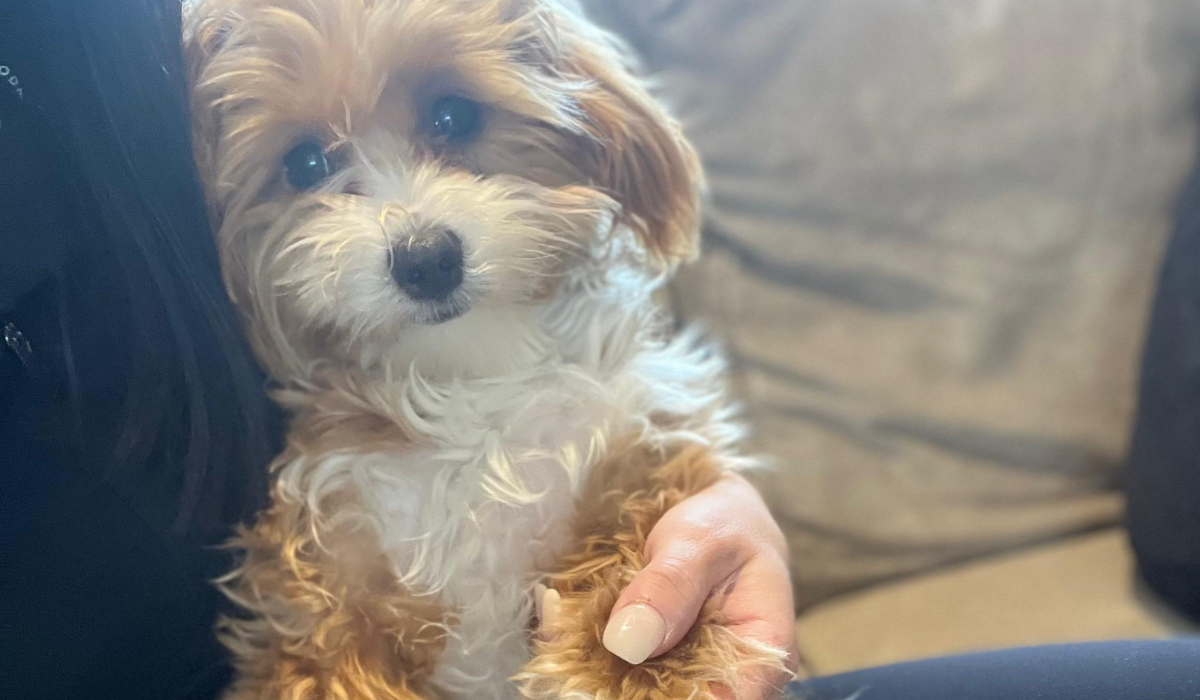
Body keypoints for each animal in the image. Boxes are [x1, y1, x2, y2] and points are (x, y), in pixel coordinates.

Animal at [184, 1, 787, 700]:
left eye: (455, 115)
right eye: (304, 164)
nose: (426, 260)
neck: (472, 377)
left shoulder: (632, 435)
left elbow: (639, 518)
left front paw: (635, 662)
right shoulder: (328, 571)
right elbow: (329, 658)